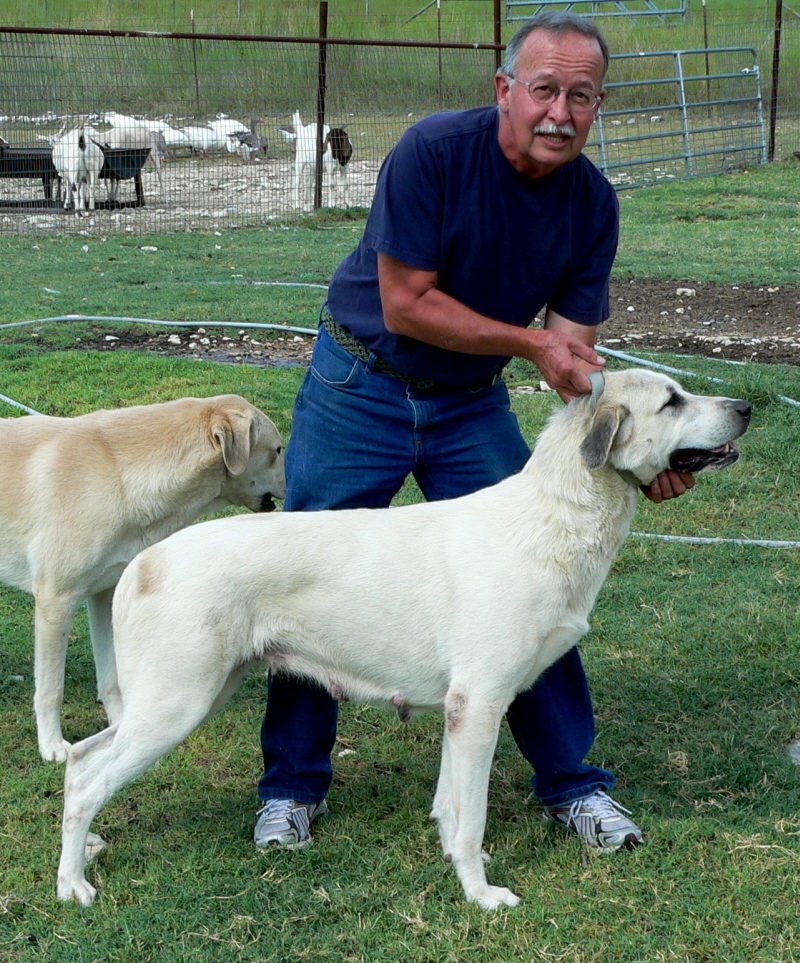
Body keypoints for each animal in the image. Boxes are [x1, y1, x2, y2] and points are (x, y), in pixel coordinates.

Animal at [0, 396, 286, 764]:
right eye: (277, 450)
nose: (291, 485)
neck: (117, 471)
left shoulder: (104, 594)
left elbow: (111, 678)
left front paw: (120, 729)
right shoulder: (56, 600)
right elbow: (51, 688)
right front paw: (51, 745)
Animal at [56, 370, 752, 912]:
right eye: (672, 402)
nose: (746, 408)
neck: (552, 517)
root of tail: (147, 560)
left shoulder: (459, 711)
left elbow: (449, 807)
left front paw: (456, 865)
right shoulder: (480, 706)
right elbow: (471, 819)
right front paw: (481, 895)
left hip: (183, 696)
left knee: (80, 761)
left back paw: (85, 848)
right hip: (177, 704)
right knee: (89, 782)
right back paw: (73, 886)